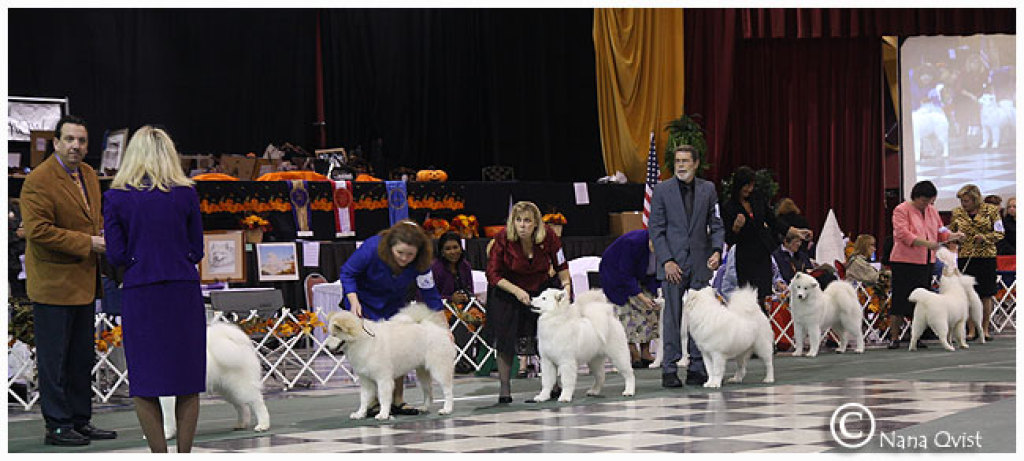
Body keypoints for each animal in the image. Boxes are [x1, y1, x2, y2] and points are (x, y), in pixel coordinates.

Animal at [325, 303, 455, 420]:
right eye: (330, 334)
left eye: (335, 335)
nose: (325, 346)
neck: (362, 340)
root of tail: (438, 328)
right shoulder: (365, 380)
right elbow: (364, 399)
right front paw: (360, 414)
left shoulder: (383, 379)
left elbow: (383, 398)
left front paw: (383, 414)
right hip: (422, 373)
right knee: (428, 391)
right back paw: (424, 407)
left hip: (439, 370)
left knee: (448, 390)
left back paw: (447, 409)